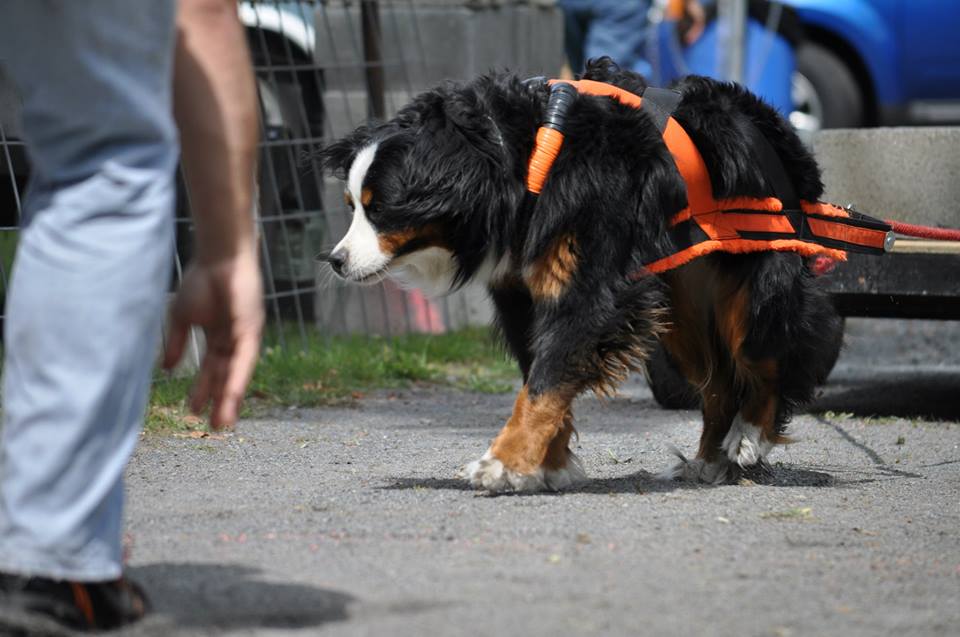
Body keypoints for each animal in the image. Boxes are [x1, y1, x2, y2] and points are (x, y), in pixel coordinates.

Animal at [318, 57, 852, 490]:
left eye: (381, 209)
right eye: (352, 206)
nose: (335, 260)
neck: (530, 158)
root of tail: (773, 130)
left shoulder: (592, 287)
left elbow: (546, 380)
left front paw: (505, 463)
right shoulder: (521, 294)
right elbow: (542, 376)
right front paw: (545, 465)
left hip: (754, 288)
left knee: (766, 358)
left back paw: (750, 436)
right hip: (680, 306)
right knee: (719, 380)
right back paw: (708, 460)